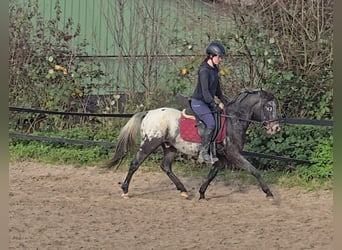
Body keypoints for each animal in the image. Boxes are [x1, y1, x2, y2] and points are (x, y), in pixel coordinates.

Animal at [106, 89, 280, 200]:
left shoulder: (222, 158)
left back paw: (183, 191)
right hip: (149, 144)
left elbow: (212, 174)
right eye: (268, 106)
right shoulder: (233, 154)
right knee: (135, 164)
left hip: (170, 147)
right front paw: (269, 193)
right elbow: (254, 171)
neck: (233, 120)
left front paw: (202, 193)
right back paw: (125, 190)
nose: (276, 128)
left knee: (166, 166)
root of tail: (149, 113)